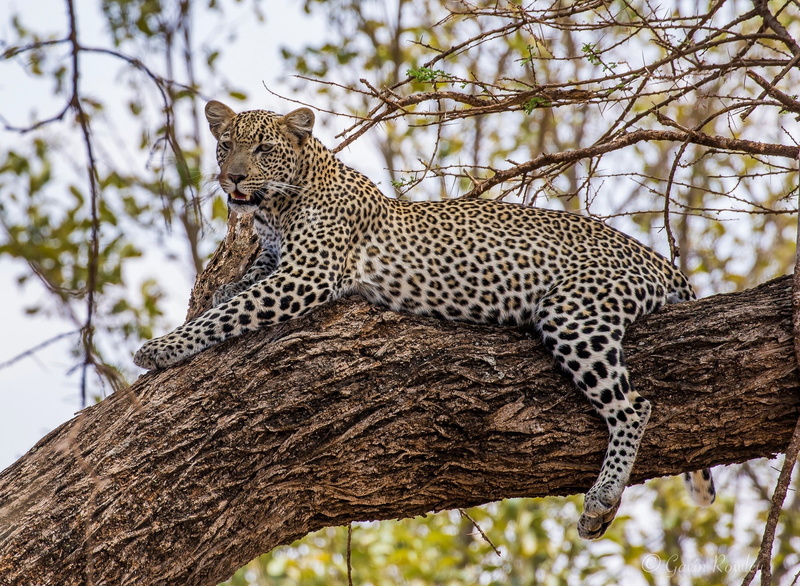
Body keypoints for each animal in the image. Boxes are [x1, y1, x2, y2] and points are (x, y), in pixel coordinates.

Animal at [134, 100, 716, 539]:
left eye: (263, 149)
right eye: (225, 144)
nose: (230, 177)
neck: (277, 210)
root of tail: (660, 260)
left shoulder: (309, 274)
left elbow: (228, 314)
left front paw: (160, 348)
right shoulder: (278, 263)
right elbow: (236, 289)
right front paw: (213, 295)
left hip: (573, 312)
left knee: (634, 407)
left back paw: (602, 500)